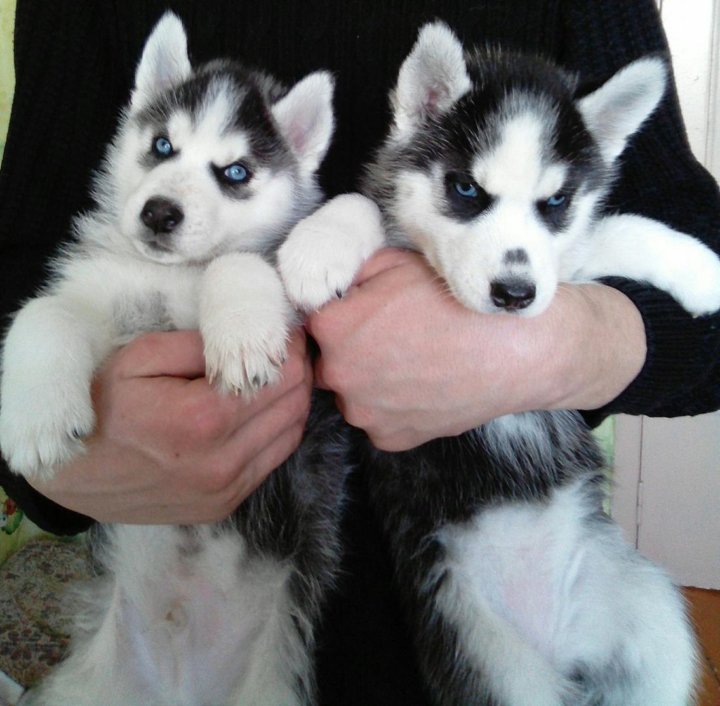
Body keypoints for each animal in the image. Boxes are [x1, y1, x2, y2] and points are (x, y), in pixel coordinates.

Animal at [0, 13, 349, 706]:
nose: (160, 211)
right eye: (162, 146)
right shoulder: (98, 301)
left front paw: (242, 336)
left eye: (235, 173)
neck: (173, 276)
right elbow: (43, 313)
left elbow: (239, 261)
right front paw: (36, 420)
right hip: (82, 686)